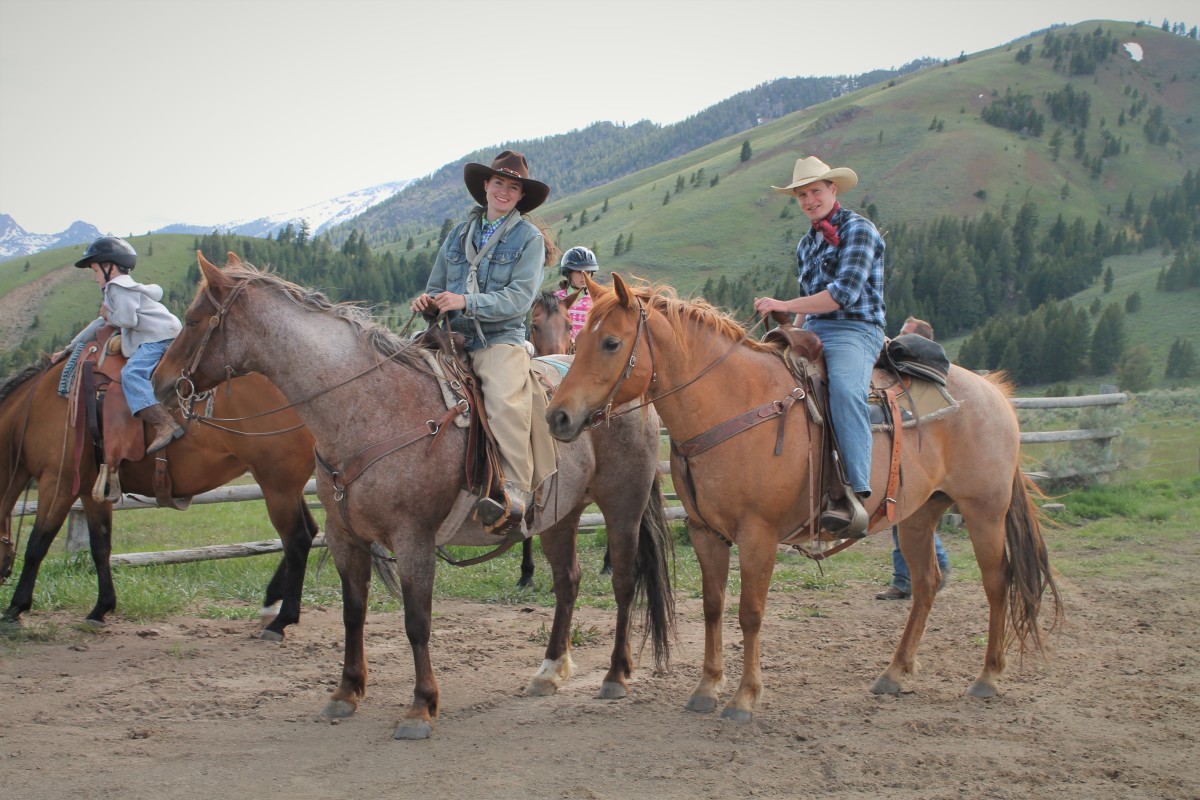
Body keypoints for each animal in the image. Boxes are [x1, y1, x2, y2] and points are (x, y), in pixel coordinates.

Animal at [0, 359, 316, 642]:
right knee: (309, 532)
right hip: (284, 484)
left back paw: (281, 621)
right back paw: (271, 603)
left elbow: (36, 546)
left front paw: (15, 609)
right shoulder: (93, 491)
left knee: (297, 540)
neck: (35, 408)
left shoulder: (59, 482)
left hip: (277, 485)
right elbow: (100, 547)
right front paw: (101, 609)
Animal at [147, 253, 676, 743]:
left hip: (622, 505)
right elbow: (353, 614)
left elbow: (416, 621)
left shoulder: (413, 538)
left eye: (192, 320)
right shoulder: (345, 538)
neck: (365, 407)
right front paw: (346, 691)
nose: (159, 382)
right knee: (567, 582)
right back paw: (549, 671)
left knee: (624, 581)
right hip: (558, 517)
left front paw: (421, 707)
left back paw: (615, 674)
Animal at [549, 272, 1065, 724]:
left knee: (997, 582)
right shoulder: (705, 533)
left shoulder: (757, 535)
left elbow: (750, 614)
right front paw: (706, 688)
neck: (731, 405)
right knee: (926, 584)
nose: (558, 416)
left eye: (611, 343)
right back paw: (895, 673)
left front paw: (744, 697)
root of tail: (993, 392)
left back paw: (988, 676)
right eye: (578, 342)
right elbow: (714, 606)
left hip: (984, 510)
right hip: (919, 514)